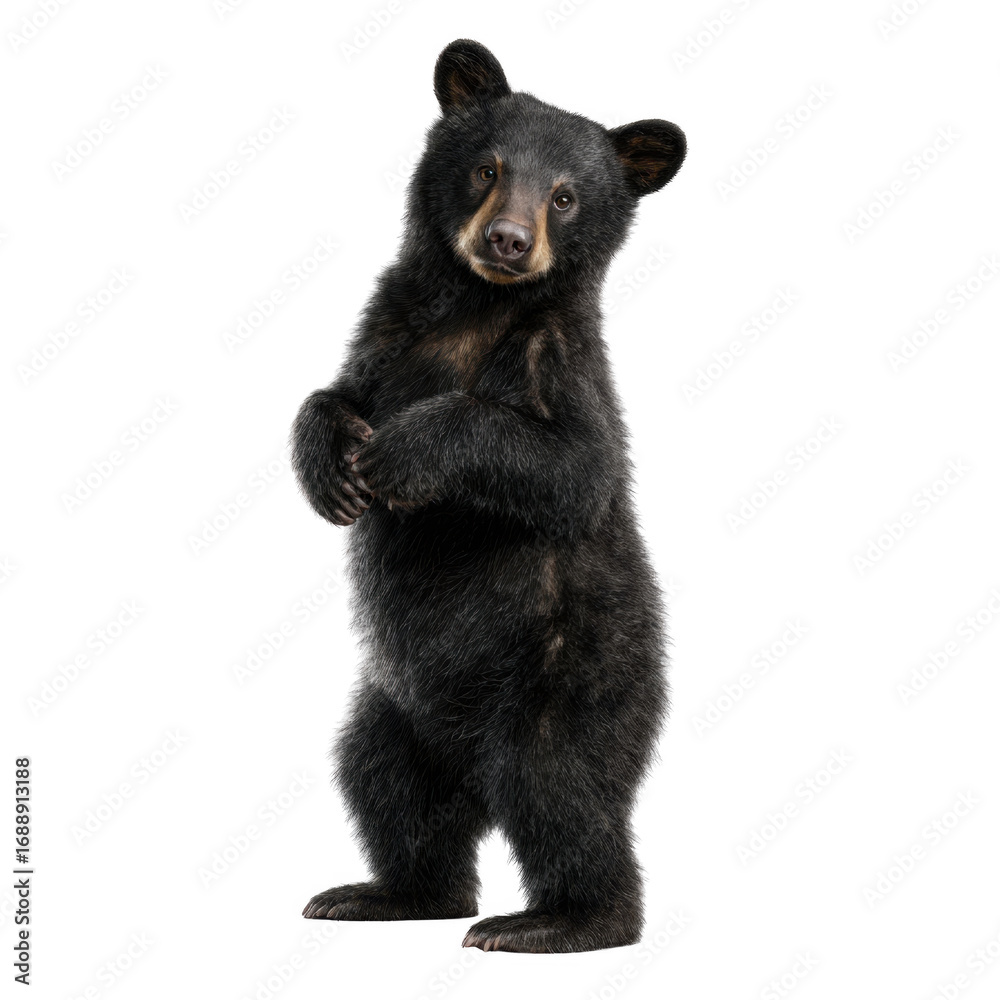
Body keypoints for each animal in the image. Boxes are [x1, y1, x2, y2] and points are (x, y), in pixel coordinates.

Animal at [291, 38, 685, 953]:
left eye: (566, 196)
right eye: (488, 168)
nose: (508, 239)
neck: (474, 311)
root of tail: (469, 759)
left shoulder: (561, 363)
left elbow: (571, 466)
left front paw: (402, 453)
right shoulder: (384, 330)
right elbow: (332, 392)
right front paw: (329, 464)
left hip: (567, 691)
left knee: (561, 796)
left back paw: (554, 922)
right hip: (390, 712)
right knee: (388, 791)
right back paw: (380, 894)